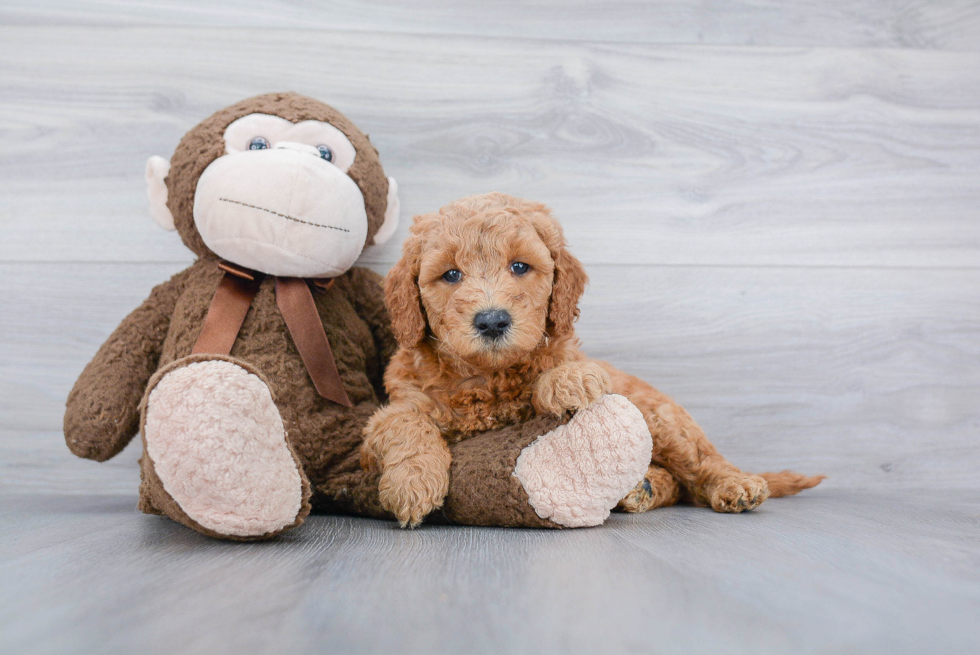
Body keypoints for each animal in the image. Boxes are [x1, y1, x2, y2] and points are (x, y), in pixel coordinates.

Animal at [360, 192, 820, 524]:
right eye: (451, 275)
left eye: (520, 267)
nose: (492, 321)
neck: (487, 377)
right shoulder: (392, 410)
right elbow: (404, 423)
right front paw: (412, 484)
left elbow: (562, 366)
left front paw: (569, 381)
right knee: (677, 483)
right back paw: (641, 489)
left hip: (662, 419)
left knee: (701, 466)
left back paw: (734, 486)